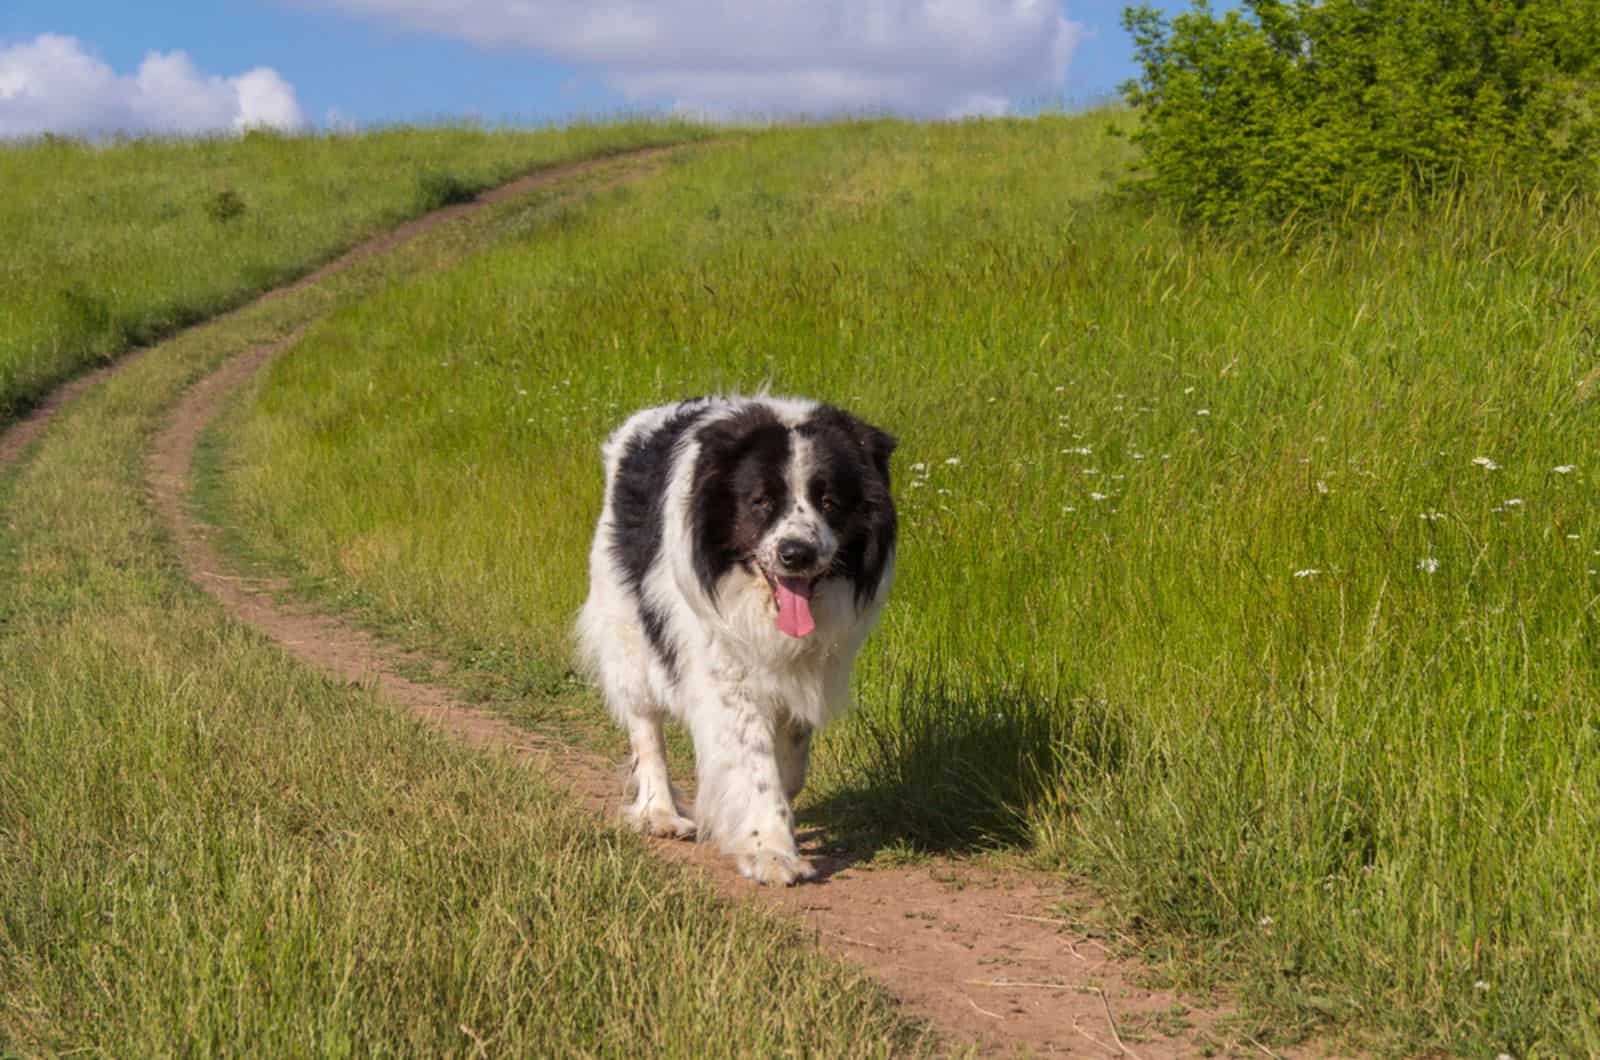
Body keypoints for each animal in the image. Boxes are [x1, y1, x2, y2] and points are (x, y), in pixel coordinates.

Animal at [579, 393, 902, 883]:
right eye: (761, 501)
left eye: (829, 502)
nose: (796, 553)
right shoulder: (725, 669)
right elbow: (754, 763)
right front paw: (770, 850)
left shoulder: (809, 667)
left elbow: (790, 763)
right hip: (626, 628)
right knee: (645, 723)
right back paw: (660, 812)